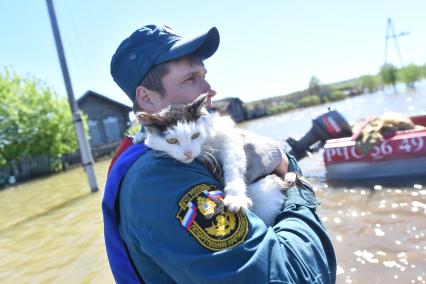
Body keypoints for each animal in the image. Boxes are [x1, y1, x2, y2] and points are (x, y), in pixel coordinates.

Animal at [136, 95, 286, 226]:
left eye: (195, 135)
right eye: (172, 140)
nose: (188, 153)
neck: (205, 143)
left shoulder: (227, 135)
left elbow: (233, 163)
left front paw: (236, 197)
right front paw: (140, 136)